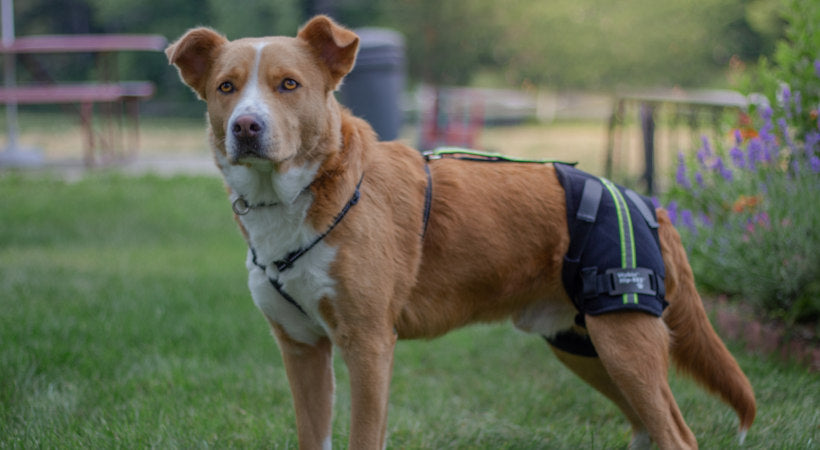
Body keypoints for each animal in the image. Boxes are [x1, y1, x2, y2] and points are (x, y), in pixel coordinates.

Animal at [165, 15, 756, 450]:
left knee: (677, 435)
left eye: (289, 85)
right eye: (226, 87)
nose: (246, 126)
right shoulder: (301, 346)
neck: (304, 195)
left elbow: (364, 436)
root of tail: (643, 201)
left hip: (623, 335)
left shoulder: (368, 344)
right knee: (646, 426)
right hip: (580, 342)